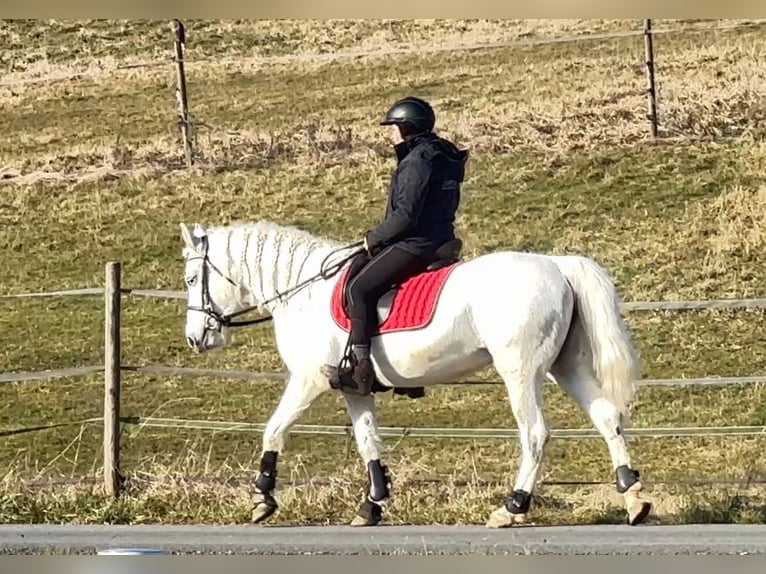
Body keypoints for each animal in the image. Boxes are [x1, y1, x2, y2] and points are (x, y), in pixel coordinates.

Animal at [180, 219, 656, 532]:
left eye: (189, 278)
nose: (195, 338)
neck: (304, 291)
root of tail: (556, 265)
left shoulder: (308, 379)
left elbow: (274, 429)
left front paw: (262, 499)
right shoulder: (354, 389)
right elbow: (367, 442)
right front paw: (372, 506)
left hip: (520, 371)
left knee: (535, 433)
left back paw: (512, 507)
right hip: (566, 367)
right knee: (607, 418)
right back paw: (633, 498)